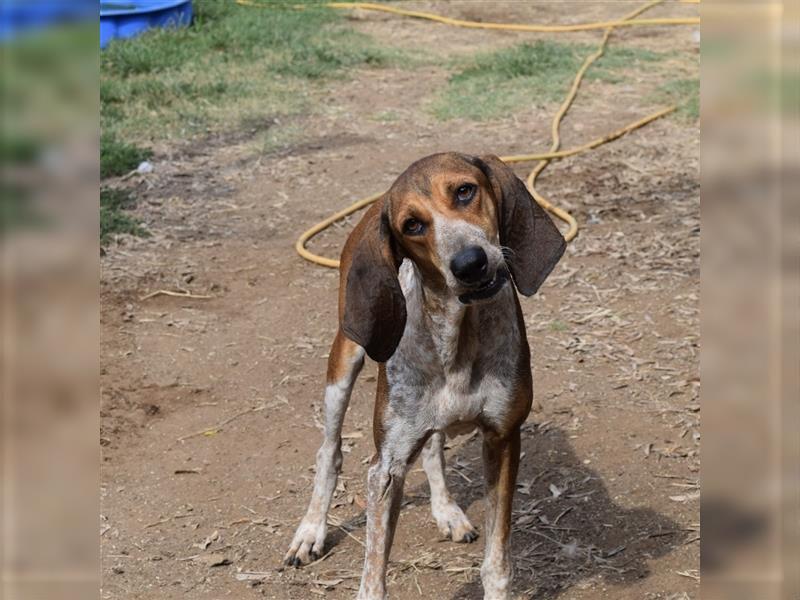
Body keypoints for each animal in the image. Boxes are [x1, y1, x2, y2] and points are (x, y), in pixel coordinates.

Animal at [284, 152, 564, 596]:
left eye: (465, 190)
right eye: (411, 225)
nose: (469, 263)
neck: (456, 336)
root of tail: (371, 209)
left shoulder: (503, 438)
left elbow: (497, 562)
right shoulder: (387, 469)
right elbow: (373, 577)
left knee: (433, 447)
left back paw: (447, 510)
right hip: (344, 360)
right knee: (329, 451)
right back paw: (310, 531)